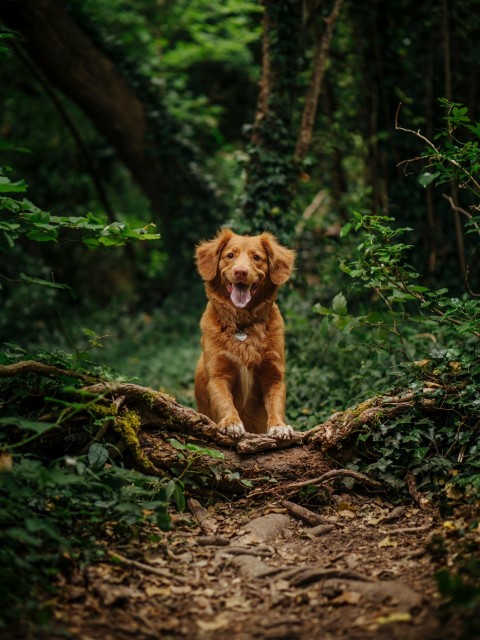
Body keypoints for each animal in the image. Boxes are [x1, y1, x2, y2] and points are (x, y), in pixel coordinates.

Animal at [194, 229, 292, 440]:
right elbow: (225, 402)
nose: (241, 271)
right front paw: (231, 422)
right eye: (230, 255)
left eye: (257, 257)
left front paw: (278, 426)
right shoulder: (218, 375)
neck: (243, 326)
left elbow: (275, 404)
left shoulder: (274, 375)